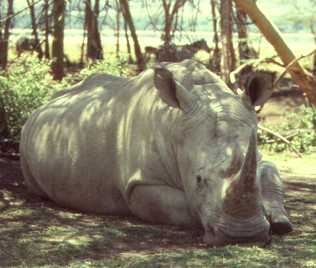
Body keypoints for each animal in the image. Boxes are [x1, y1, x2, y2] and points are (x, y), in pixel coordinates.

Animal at [19, 59, 292, 246]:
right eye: (199, 179)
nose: (244, 236)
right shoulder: (142, 183)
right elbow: (187, 204)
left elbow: (270, 172)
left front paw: (280, 222)